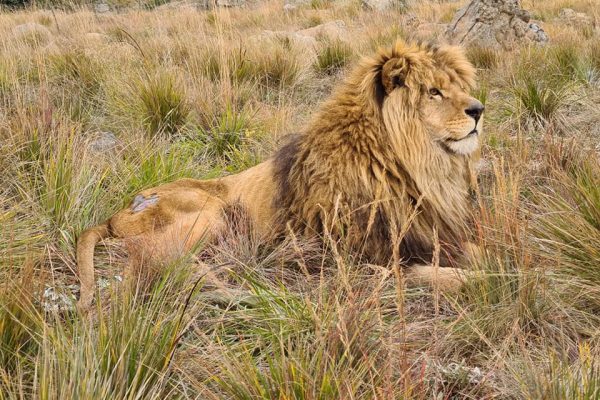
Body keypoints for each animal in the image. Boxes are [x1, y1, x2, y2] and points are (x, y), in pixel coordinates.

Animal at [77, 40, 486, 310]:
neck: (412, 167)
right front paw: (483, 280)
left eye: (457, 87)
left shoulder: (429, 235)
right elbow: (429, 275)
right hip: (211, 214)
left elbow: (477, 252)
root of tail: (115, 215)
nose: (479, 109)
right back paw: (243, 288)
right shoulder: (347, 258)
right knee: (163, 266)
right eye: (434, 92)